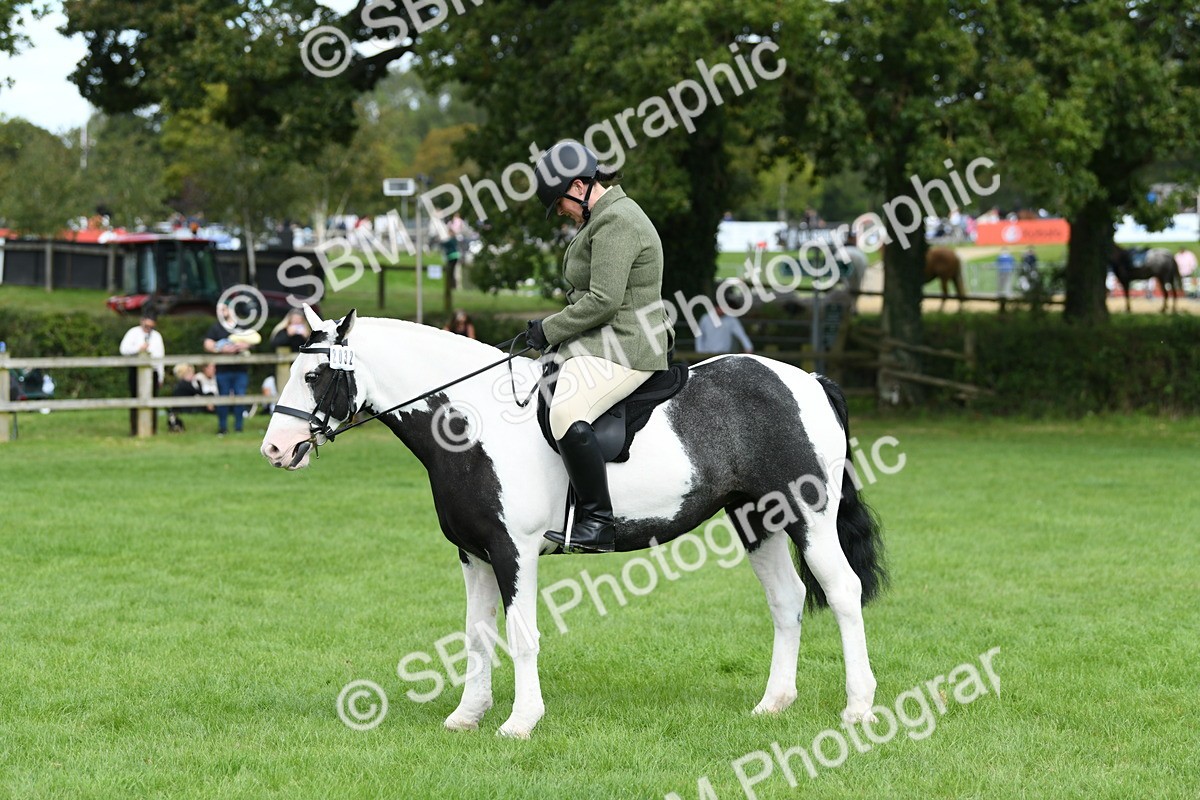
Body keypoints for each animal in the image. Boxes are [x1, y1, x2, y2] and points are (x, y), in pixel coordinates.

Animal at [260, 306, 886, 739]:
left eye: (315, 376)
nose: (276, 448)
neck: (472, 423)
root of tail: (809, 381)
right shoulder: (473, 553)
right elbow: (476, 634)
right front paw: (468, 715)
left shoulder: (513, 550)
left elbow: (521, 633)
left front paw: (520, 722)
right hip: (757, 519)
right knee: (786, 600)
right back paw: (773, 703)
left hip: (808, 514)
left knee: (842, 590)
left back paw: (858, 707)